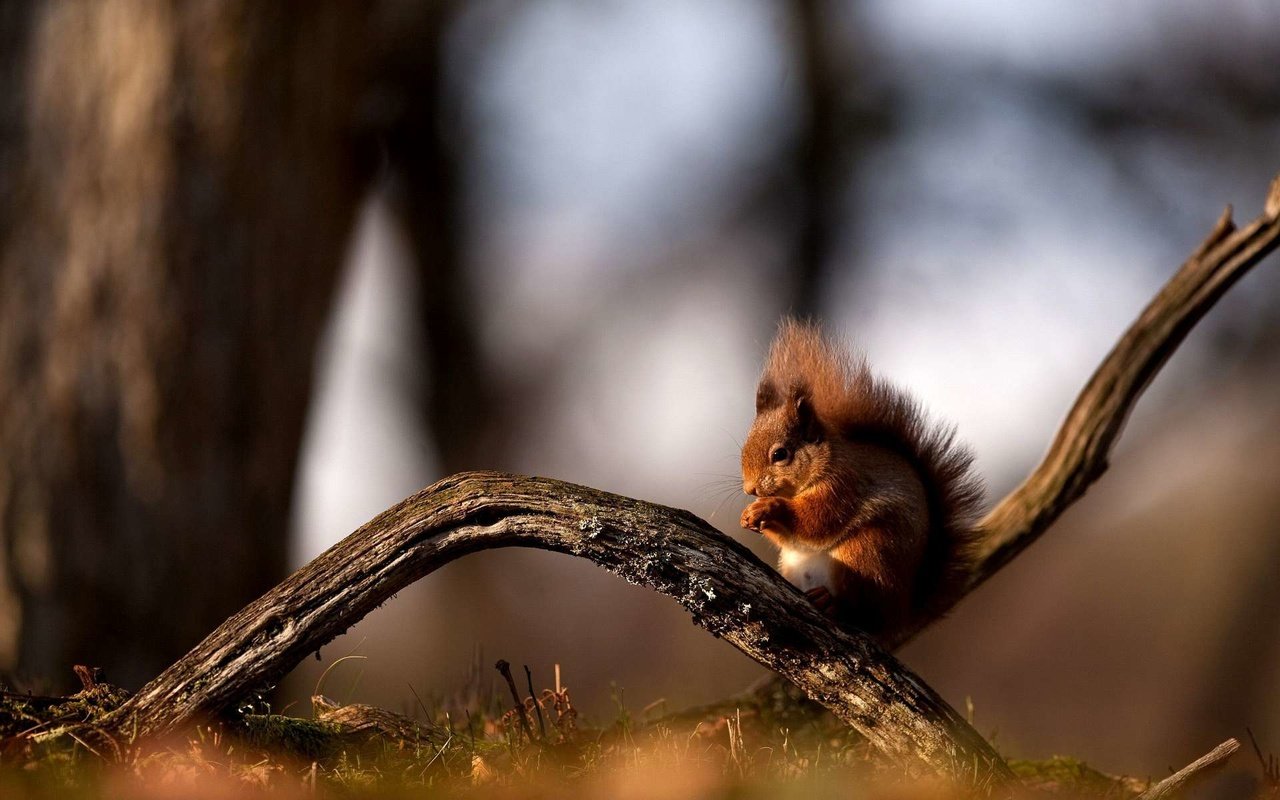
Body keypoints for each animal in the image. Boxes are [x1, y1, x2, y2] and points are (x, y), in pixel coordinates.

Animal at [742, 318, 977, 637]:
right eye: (744, 446)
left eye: (780, 454)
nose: (750, 489)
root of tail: (899, 617)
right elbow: (790, 538)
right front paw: (750, 516)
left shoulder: (844, 485)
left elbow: (816, 521)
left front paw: (769, 507)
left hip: (867, 553)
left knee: (862, 612)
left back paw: (833, 604)